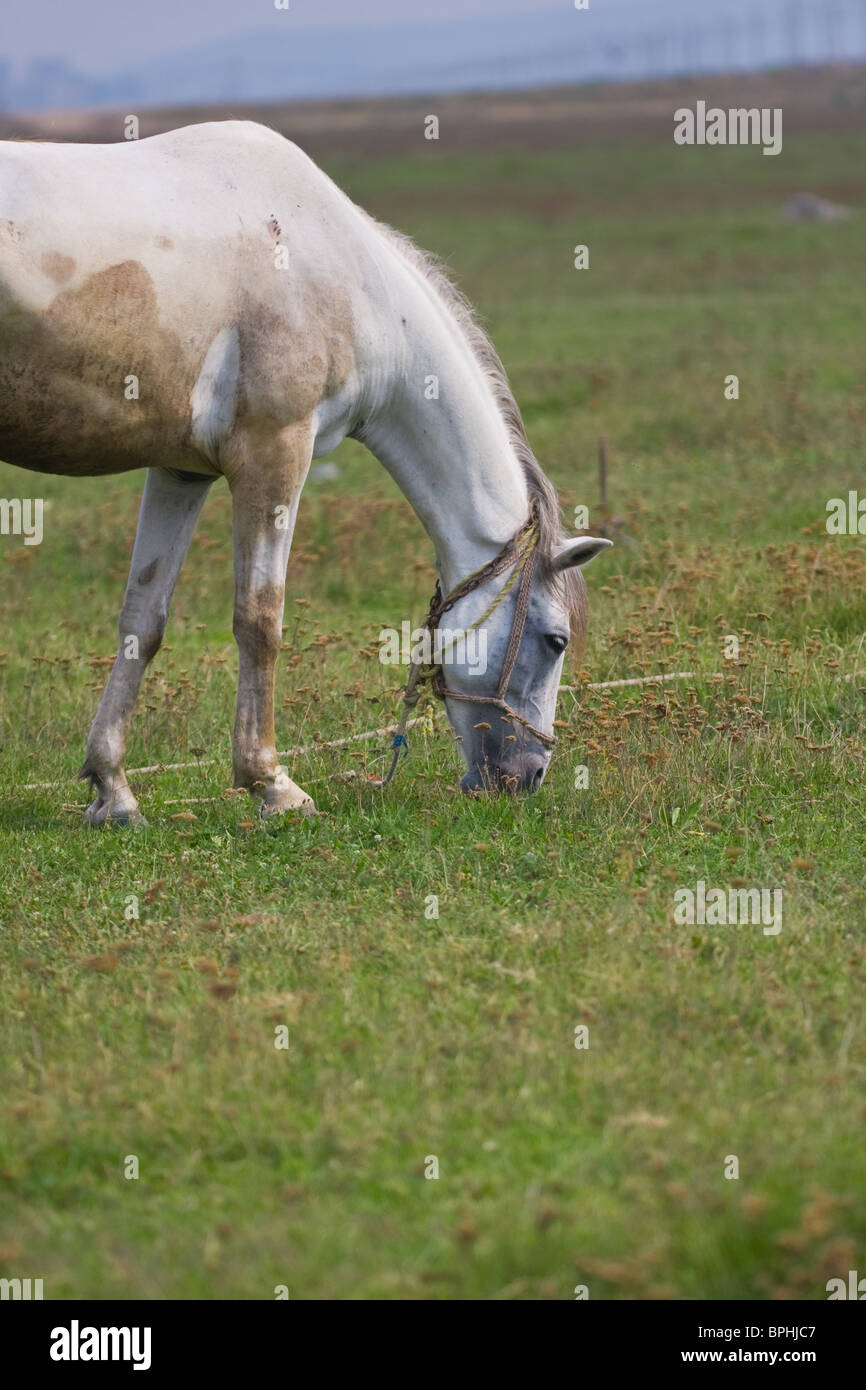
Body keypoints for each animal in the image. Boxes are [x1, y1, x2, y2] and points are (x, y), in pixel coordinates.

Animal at [0, 125, 608, 817]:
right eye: (556, 640)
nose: (528, 776)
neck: (350, 285)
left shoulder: (179, 472)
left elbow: (142, 621)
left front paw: (113, 790)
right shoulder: (275, 454)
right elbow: (259, 619)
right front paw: (271, 784)